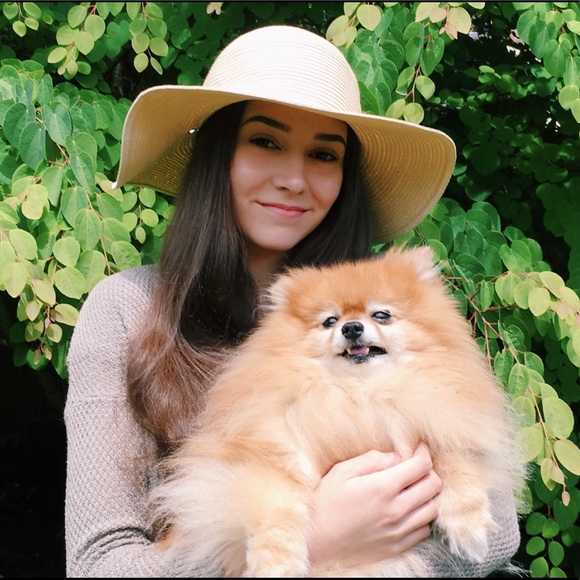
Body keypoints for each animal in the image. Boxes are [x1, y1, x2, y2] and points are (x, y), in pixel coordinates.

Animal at [148, 245, 526, 577]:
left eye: (381, 315)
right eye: (330, 321)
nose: (352, 327)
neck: (359, 397)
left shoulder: (441, 418)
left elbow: (453, 457)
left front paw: (469, 527)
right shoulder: (260, 455)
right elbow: (278, 508)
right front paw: (276, 564)